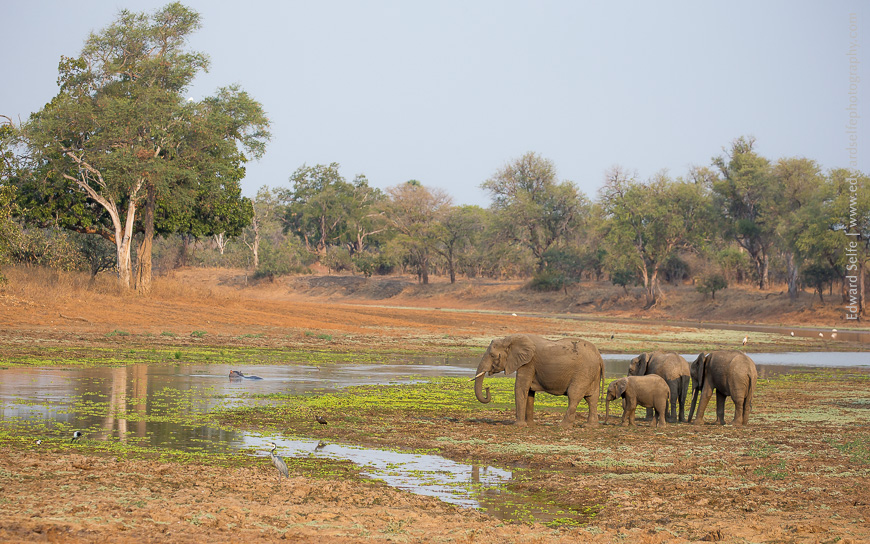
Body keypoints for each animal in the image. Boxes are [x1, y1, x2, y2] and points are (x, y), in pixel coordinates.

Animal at [473, 334, 605, 429]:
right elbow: (530, 392)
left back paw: (562, 426)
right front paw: (530, 425)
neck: (510, 339)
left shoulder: (528, 364)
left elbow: (521, 388)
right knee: (592, 398)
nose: (487, 388)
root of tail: (599, 357)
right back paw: (590, 426)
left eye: (492, 355)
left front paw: (519, 425)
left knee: (574, 395)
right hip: (592, 374)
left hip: (583, 373)